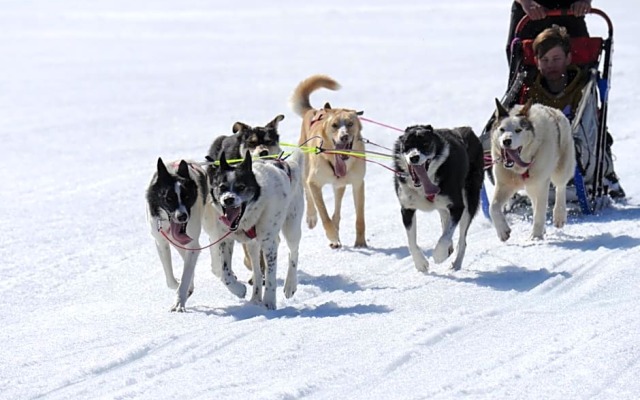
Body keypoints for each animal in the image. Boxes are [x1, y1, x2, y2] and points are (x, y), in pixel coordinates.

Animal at [206, 150, 304, 310]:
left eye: (241, 187)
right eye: (222, 187)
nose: (228, 199)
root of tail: (289, 164)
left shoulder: (269, 244)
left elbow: (270, 278)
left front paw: (269, 303)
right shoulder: (226, 240)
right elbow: (225, 274)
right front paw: (239, 289)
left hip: (292, 227)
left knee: (293, 253)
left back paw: (290, 285)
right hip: (252, 245)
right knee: (257, 272)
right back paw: (255, 298)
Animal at [290, 72, 364, 247]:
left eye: (350, 123)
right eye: (335, 125)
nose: (344, 136)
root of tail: (314, 111)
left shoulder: (358, 184)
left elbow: (360, 219)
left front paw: (361, 242)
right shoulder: (314, 183)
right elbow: (324, 214)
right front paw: (332, 236)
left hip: (340, 186)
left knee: (337, 210)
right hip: (306, 172)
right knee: (308, 195)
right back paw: (312, 218)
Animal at [392, 123, 482, 270]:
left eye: (425, 143)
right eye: (407, 144)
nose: (414, 157)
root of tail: (465, 129)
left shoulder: (457, 206)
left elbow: (445, 237)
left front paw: (439, 254)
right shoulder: (407, 209)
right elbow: (411, 241)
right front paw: (420, 262)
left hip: (469, 201)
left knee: (461, 239)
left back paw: (456, 263)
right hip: (442, 207)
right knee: (446, 223)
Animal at [490, 99, 576, 241]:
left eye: (518, 130)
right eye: (502, 129)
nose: (506, 141)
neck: (521, 167)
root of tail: (554, 110)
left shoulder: (542, 184)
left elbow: (539, 213)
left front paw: (536, 237)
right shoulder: (504, 185)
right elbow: (493, 207)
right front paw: (502, 231)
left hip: (561, 167)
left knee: (560, 187)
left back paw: (559, 215)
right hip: (531, 186)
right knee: (534, 200)